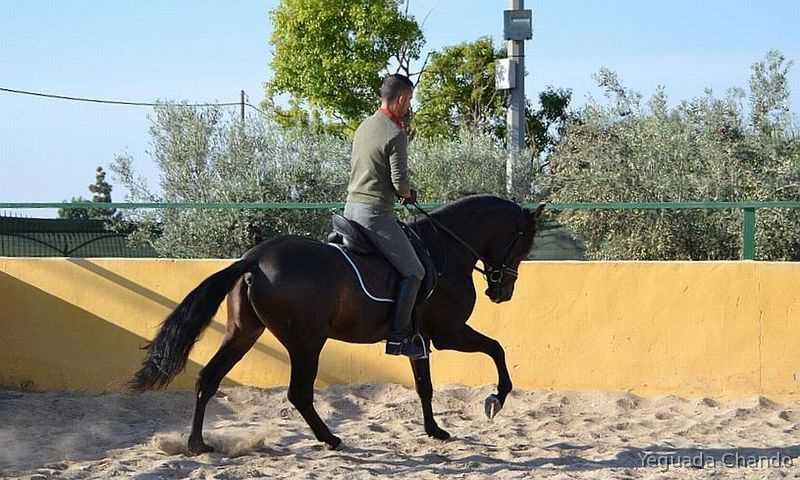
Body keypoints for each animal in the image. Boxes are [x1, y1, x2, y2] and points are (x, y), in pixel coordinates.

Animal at [127, 194, 544, 454]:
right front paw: (495, 400)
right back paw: (331, 439)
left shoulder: (420, 338)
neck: (447, 251)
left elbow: (424, 387)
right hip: (306, 342)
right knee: (298, 393)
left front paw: (435, 431)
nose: (502, 291)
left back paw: (197, 444)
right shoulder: (447, 333)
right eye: (523, 243)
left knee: (208, 379)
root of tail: (255, 259)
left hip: (244, 333)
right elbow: (497, 349)